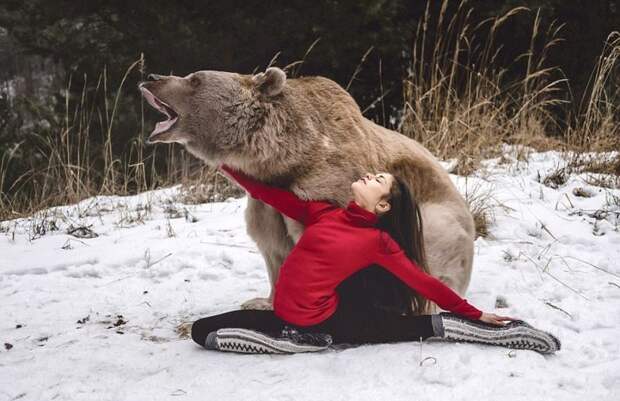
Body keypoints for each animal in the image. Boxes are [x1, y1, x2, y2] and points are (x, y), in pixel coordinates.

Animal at [138, 67, 472, 314]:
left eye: (195, 79)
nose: (152, 76)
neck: (284, 159)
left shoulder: (325, 181)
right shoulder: (265, 202)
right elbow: (272, 246)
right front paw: (262, 301)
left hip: (440, 219)